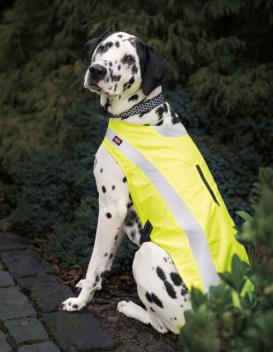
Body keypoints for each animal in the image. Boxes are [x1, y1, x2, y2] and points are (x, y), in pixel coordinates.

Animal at [60, 31, 190, 334]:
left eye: (130, 59)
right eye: (104, 47)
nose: (96, 70)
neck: (140, 113)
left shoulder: (109, 208)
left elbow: (95, 259)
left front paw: (80, 301)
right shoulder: (121, 214)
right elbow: (105, 258)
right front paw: (93, 284)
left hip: (146, 255)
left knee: (163, 327)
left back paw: (130, 307)